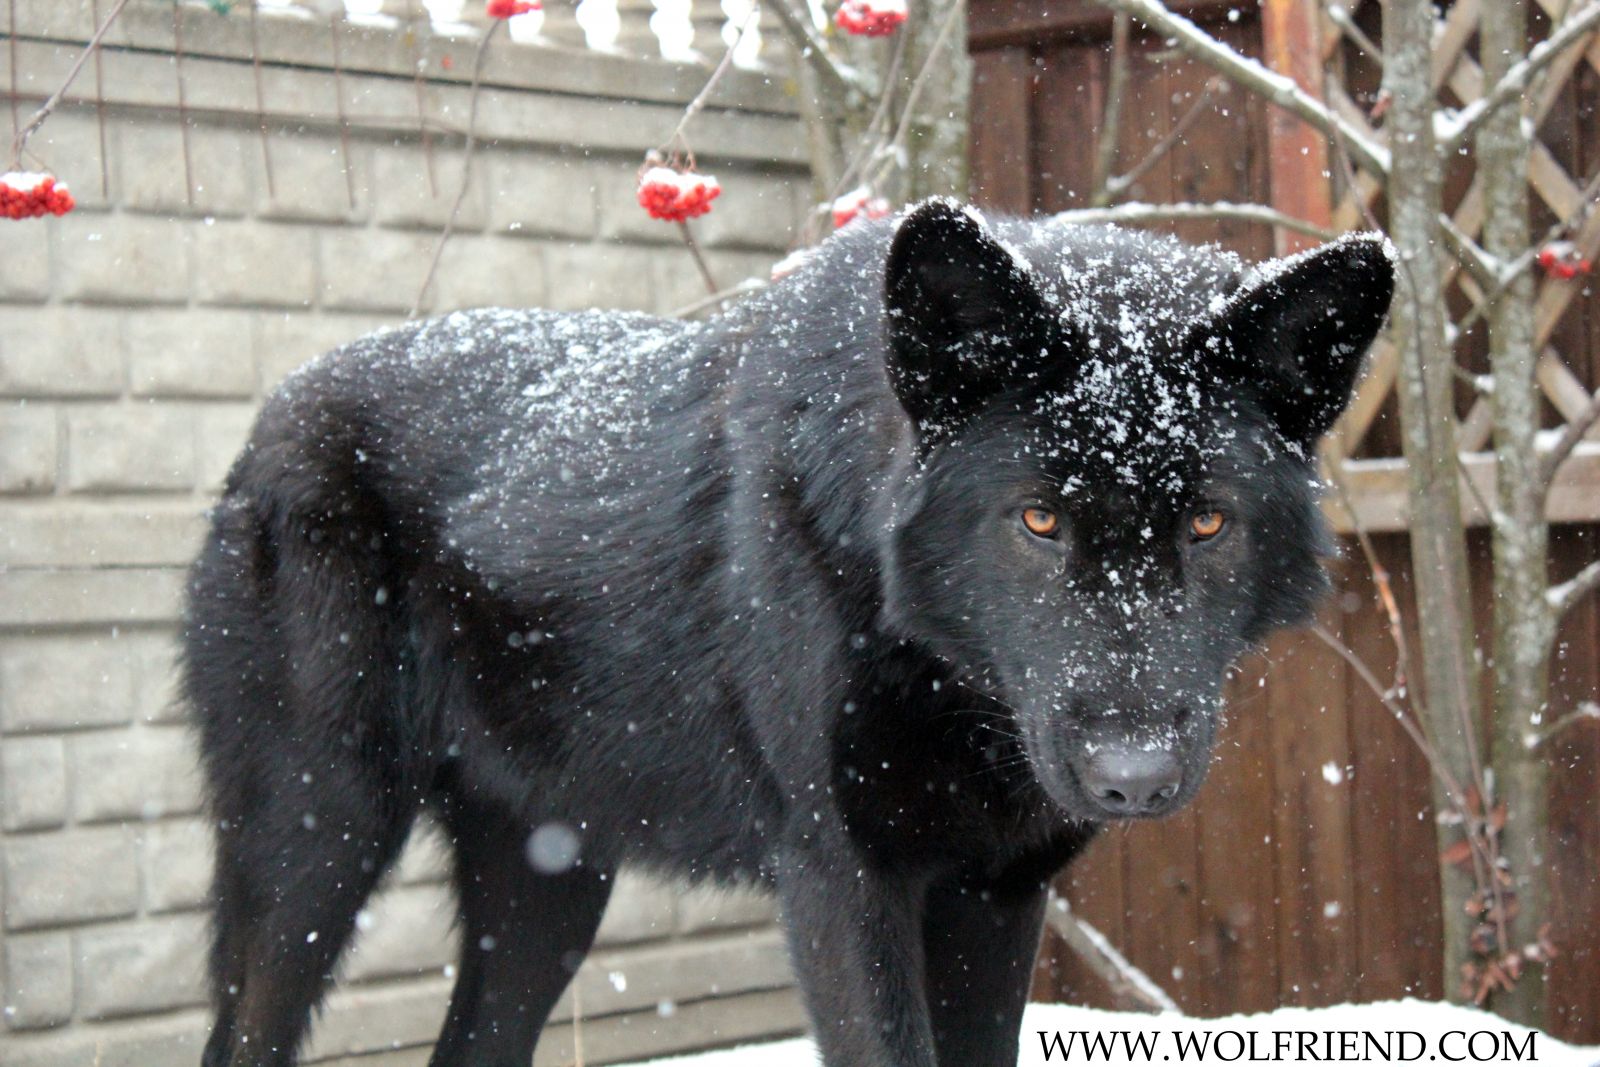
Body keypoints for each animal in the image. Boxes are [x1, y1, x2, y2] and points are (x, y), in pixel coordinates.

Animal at [184, 202, 1388, 1067]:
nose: (1130, 775)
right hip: (315, 852)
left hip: (548, 895)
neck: (930, 665)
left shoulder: (996, 896)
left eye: (1207, 523)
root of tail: (266, 420)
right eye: (1038, 520)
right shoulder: (842, 886)